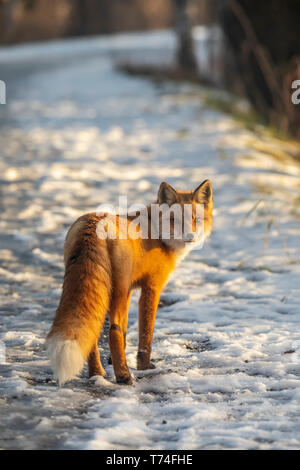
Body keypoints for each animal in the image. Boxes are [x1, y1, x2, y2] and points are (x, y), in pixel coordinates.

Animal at [45, 180, 212, 386]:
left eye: (197, 220)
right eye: (176, 220)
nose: (190, 236)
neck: (156, 234)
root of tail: (92, 224)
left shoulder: (131, 289)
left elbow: (125, 332)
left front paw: (114, 360)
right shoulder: (151, 287)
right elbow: (145, 334)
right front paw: (144, 367)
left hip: (105, 292)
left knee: (95, 331)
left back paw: (97, 373)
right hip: (118, 290)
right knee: (113, 330)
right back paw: (124, 376)